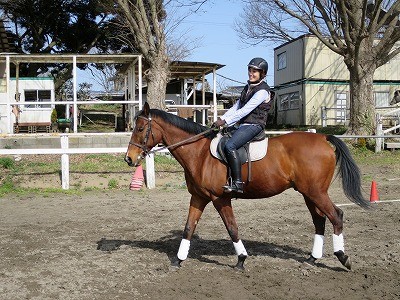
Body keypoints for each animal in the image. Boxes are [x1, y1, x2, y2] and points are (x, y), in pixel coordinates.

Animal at [124, 102, 368, 270]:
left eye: (140, 129)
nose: (129, 158)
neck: (200, 153)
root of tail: (324, 138)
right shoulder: (198, 197)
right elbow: (188, 228)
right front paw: (177, 259)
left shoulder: (220, 198)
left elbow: (232, 227)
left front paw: (241, 259)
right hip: (308, 193)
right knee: (319, 220)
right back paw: (312, 258)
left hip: (316, 192)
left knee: (336, 216)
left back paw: (343, 257)